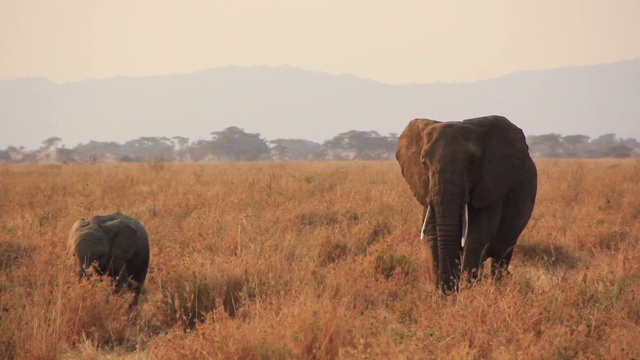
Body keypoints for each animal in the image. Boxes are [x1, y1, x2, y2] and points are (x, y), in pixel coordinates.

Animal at [396, 116, 536, 294]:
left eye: (472, 161)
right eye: (423, 162)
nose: (448, 290)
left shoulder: (491, 185)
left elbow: (476, 237)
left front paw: (467, 293)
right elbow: (432, 235)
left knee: (501, 257)